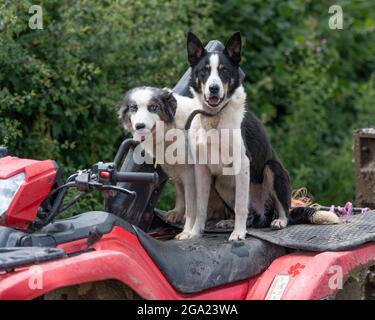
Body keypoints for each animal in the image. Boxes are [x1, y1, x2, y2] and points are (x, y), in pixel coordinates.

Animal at [179, 32, 340, 241]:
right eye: (203, 71)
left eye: (224, 71)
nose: (214, 88)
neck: (214, 117)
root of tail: (265, 213)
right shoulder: (201, 168)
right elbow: (200, 207)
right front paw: (195, 233)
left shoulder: (242, 162)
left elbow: (240, 206)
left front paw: (238, 234)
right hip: (222, 184)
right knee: (251, 216)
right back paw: (232, 223)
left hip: (273, 170)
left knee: (282, 212)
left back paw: (277, 221)